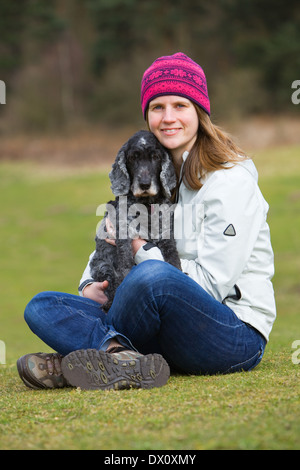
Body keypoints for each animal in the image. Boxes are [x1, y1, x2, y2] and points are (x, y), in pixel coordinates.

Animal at [90, 129, 182, 312]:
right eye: (133, 158)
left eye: (156, 157)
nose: (145, 184)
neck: (146, 204)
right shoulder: (124, 236)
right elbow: (125, 267)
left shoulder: (166, 234)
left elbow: (173, 258)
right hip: (102, 266)